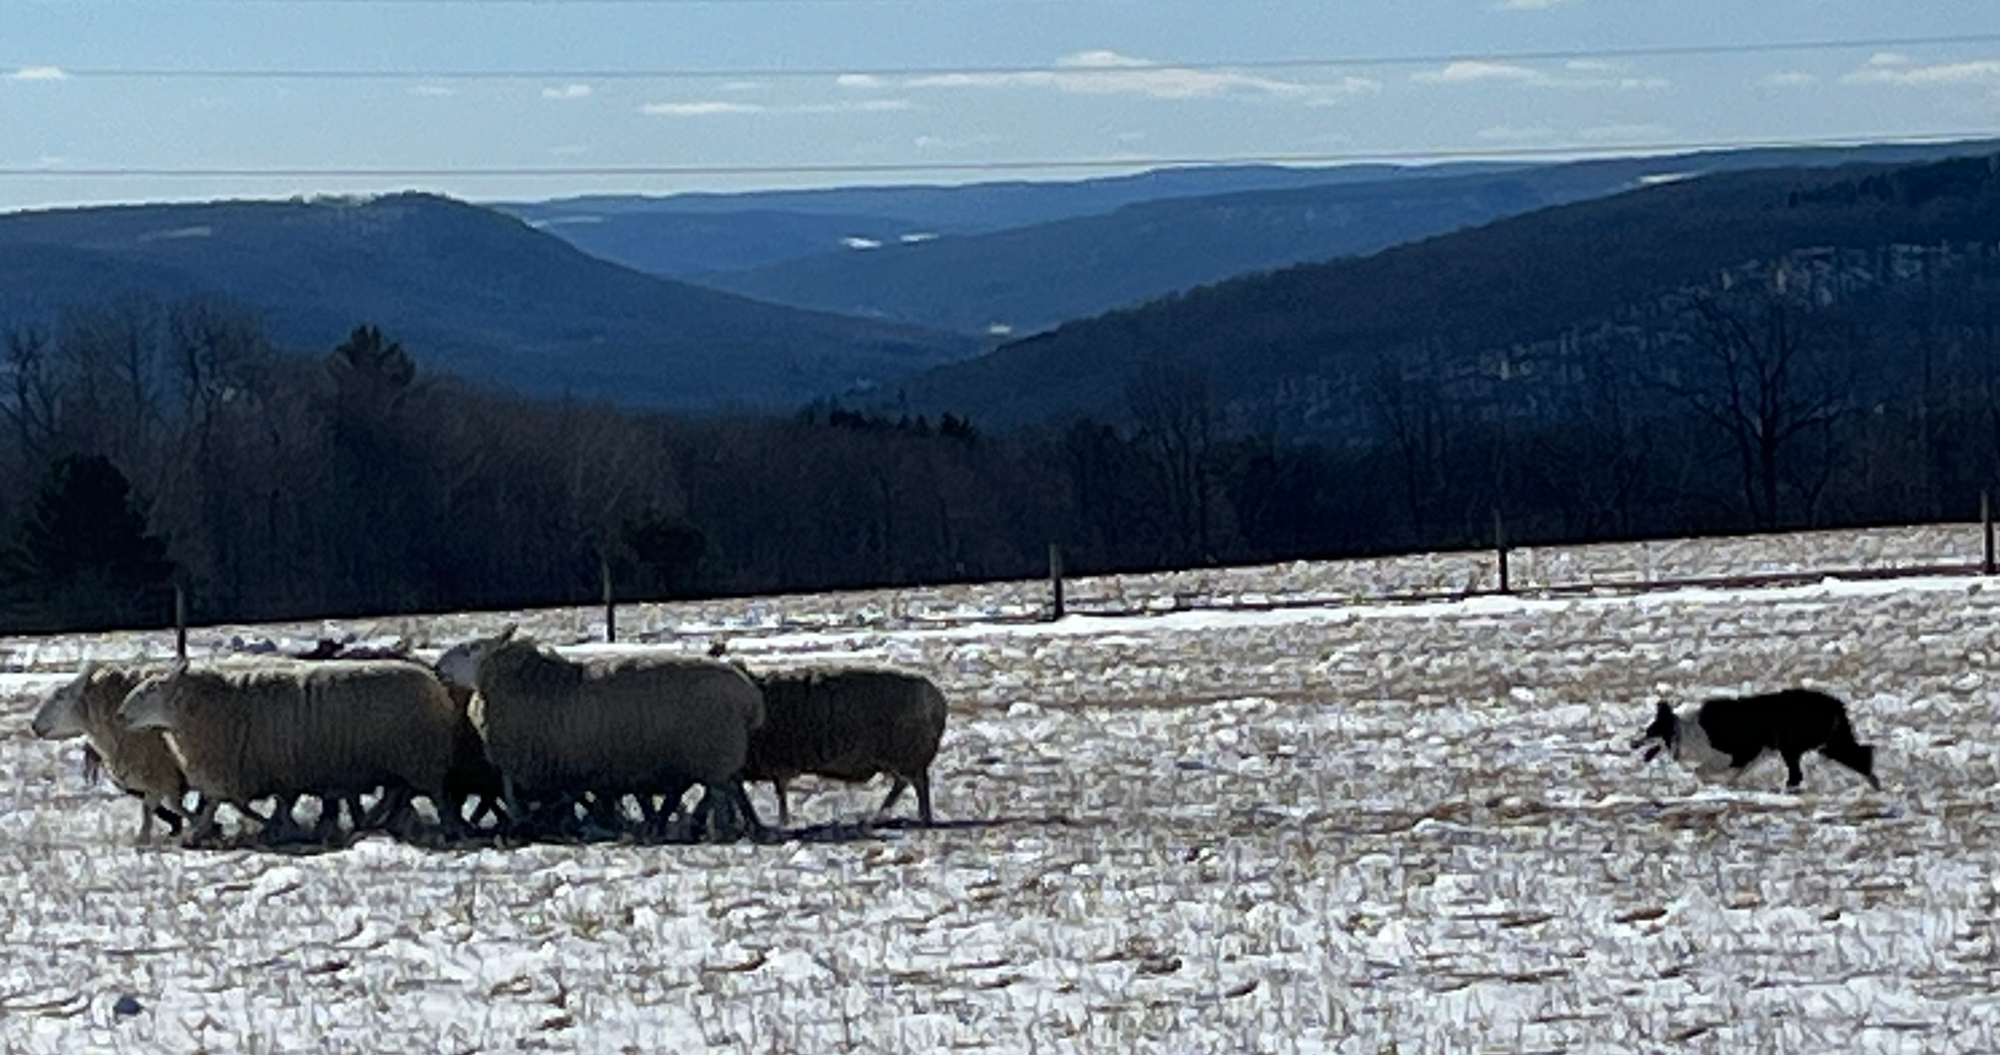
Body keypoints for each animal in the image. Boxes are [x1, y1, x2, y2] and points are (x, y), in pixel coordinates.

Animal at [31, 663, 195, 843]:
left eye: (59, 696)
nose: (34, 726)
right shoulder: (162, 775)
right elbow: (156, 806)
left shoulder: (162, 772)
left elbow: (160, 806)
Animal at [120, 655, 468, 843]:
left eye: (152, 688)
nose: (121, 714)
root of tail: (435, 683)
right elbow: (222, 803)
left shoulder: (269, 771)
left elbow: (244, 803)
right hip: (399, 761)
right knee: (397, 793)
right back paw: (374, 821)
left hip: (419, 757)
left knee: (435, 794)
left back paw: (447, 826)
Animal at [434, 627, 768, 839]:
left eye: (472, 648)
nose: (437, 668)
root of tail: (750, 697)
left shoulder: (556, 760)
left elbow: (528, 795)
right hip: (717, 756)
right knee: (727, 790)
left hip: (715, 751)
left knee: (721, 793)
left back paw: (718, 829)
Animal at [744, 663, 952, 827]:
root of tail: (937, 700)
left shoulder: (778, 762)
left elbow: (781, 794)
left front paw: (783, 822)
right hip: (899, 758)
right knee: (902, 783)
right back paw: (880, 815)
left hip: (907, 754)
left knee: (919, 783)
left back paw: (923, 818)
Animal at [1632, 691, 1880, 791]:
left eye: (1650, 731)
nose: (1632, 744)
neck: (1684, 730)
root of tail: (1833, 703)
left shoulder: (1746, 750)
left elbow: (1704, 771)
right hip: (1826, 745)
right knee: (1861, 756)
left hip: (1791, 746)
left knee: (1797, 774)